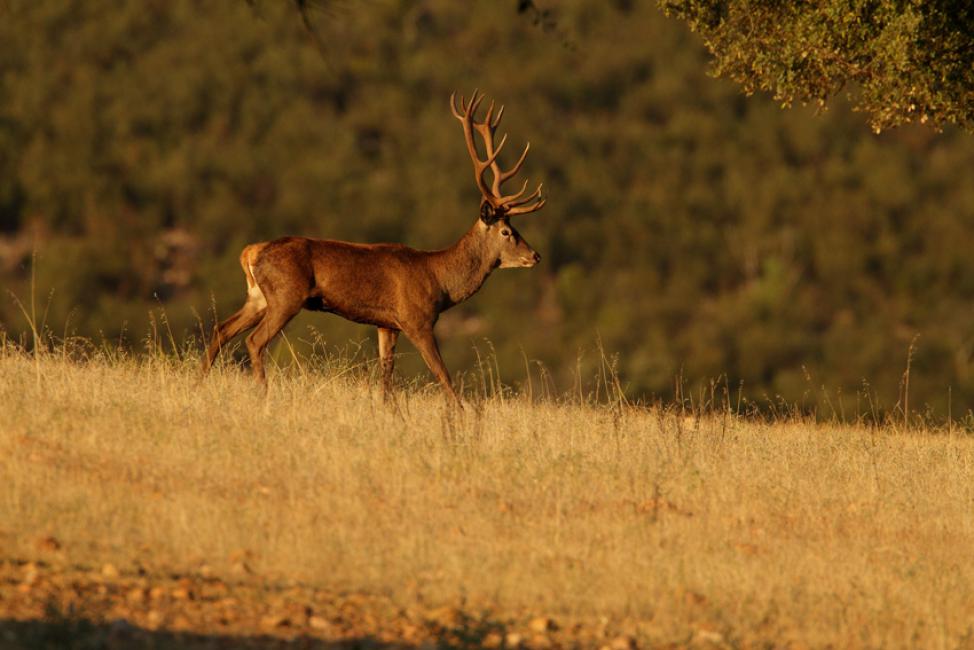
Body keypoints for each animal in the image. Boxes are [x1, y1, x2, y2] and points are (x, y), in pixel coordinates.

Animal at [198, 91, 548, 404]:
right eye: (507, 231)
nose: (536, 255)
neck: (440, 281)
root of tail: (250, 252)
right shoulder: (416, 319)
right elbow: (442, 374)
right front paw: (461, 416)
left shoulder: (386, 324)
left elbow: (386, 377)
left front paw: (390, 412)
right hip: (286, 295)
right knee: (254, 341)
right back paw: (263, 395)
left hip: (258, 296)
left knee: (220, 329)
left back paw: (202, 381)